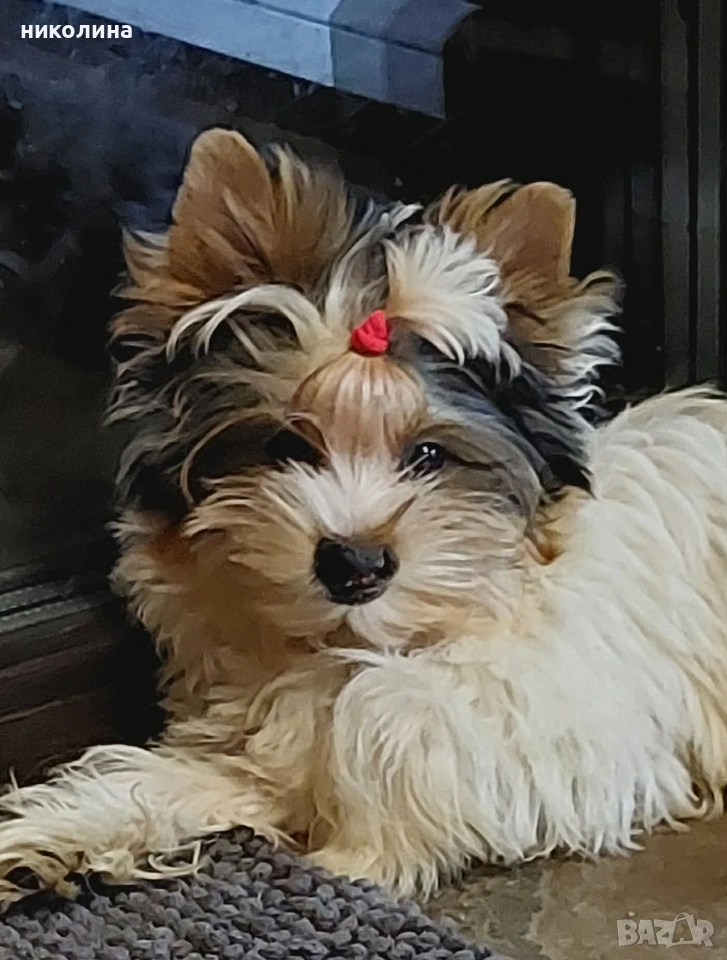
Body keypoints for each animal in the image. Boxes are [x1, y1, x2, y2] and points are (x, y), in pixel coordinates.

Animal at [1, 128, 726, 908]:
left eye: (429, 454)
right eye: (286, 446)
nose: (354, 561)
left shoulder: (571, 729)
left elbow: (389, 709)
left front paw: (351, 863)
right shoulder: (259, 741)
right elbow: (174, 779)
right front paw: (45, 838)